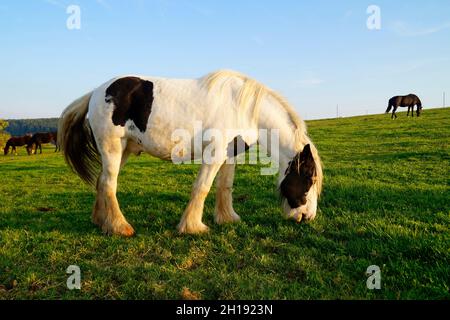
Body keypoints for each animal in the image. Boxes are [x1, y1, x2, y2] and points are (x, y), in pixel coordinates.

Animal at [58, 69, 322, 235]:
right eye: (309, 180)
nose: (308, 217)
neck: (244, 107)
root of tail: (96, 92)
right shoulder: (214, 153)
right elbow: (202, 187)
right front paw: (193, 227)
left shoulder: (230, 155)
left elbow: (224, 187)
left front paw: (227, 218)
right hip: (112, 148)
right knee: (108, 184)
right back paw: (120, 227)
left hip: (123, 151)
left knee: (102, 182)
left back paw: (101, 221)